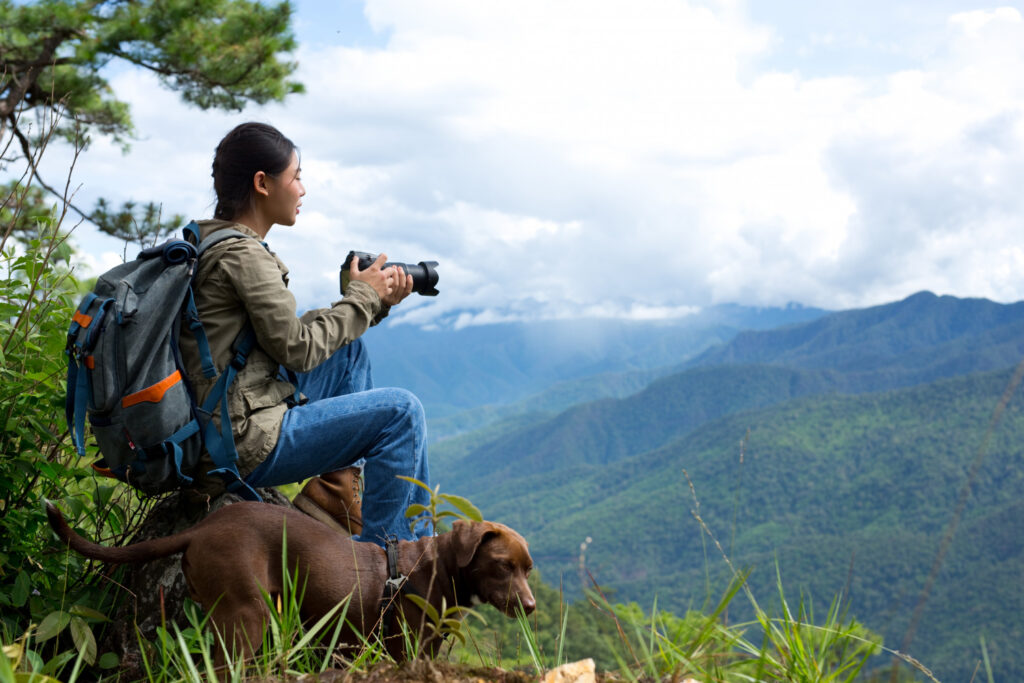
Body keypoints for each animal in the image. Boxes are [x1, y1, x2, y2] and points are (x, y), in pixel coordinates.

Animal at [46, 501, 536, 663]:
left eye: (529, 569)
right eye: (502, 566)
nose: (531, 607)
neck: (436, 567)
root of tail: (202, 528)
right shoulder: (406, 649)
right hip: (247, 615)